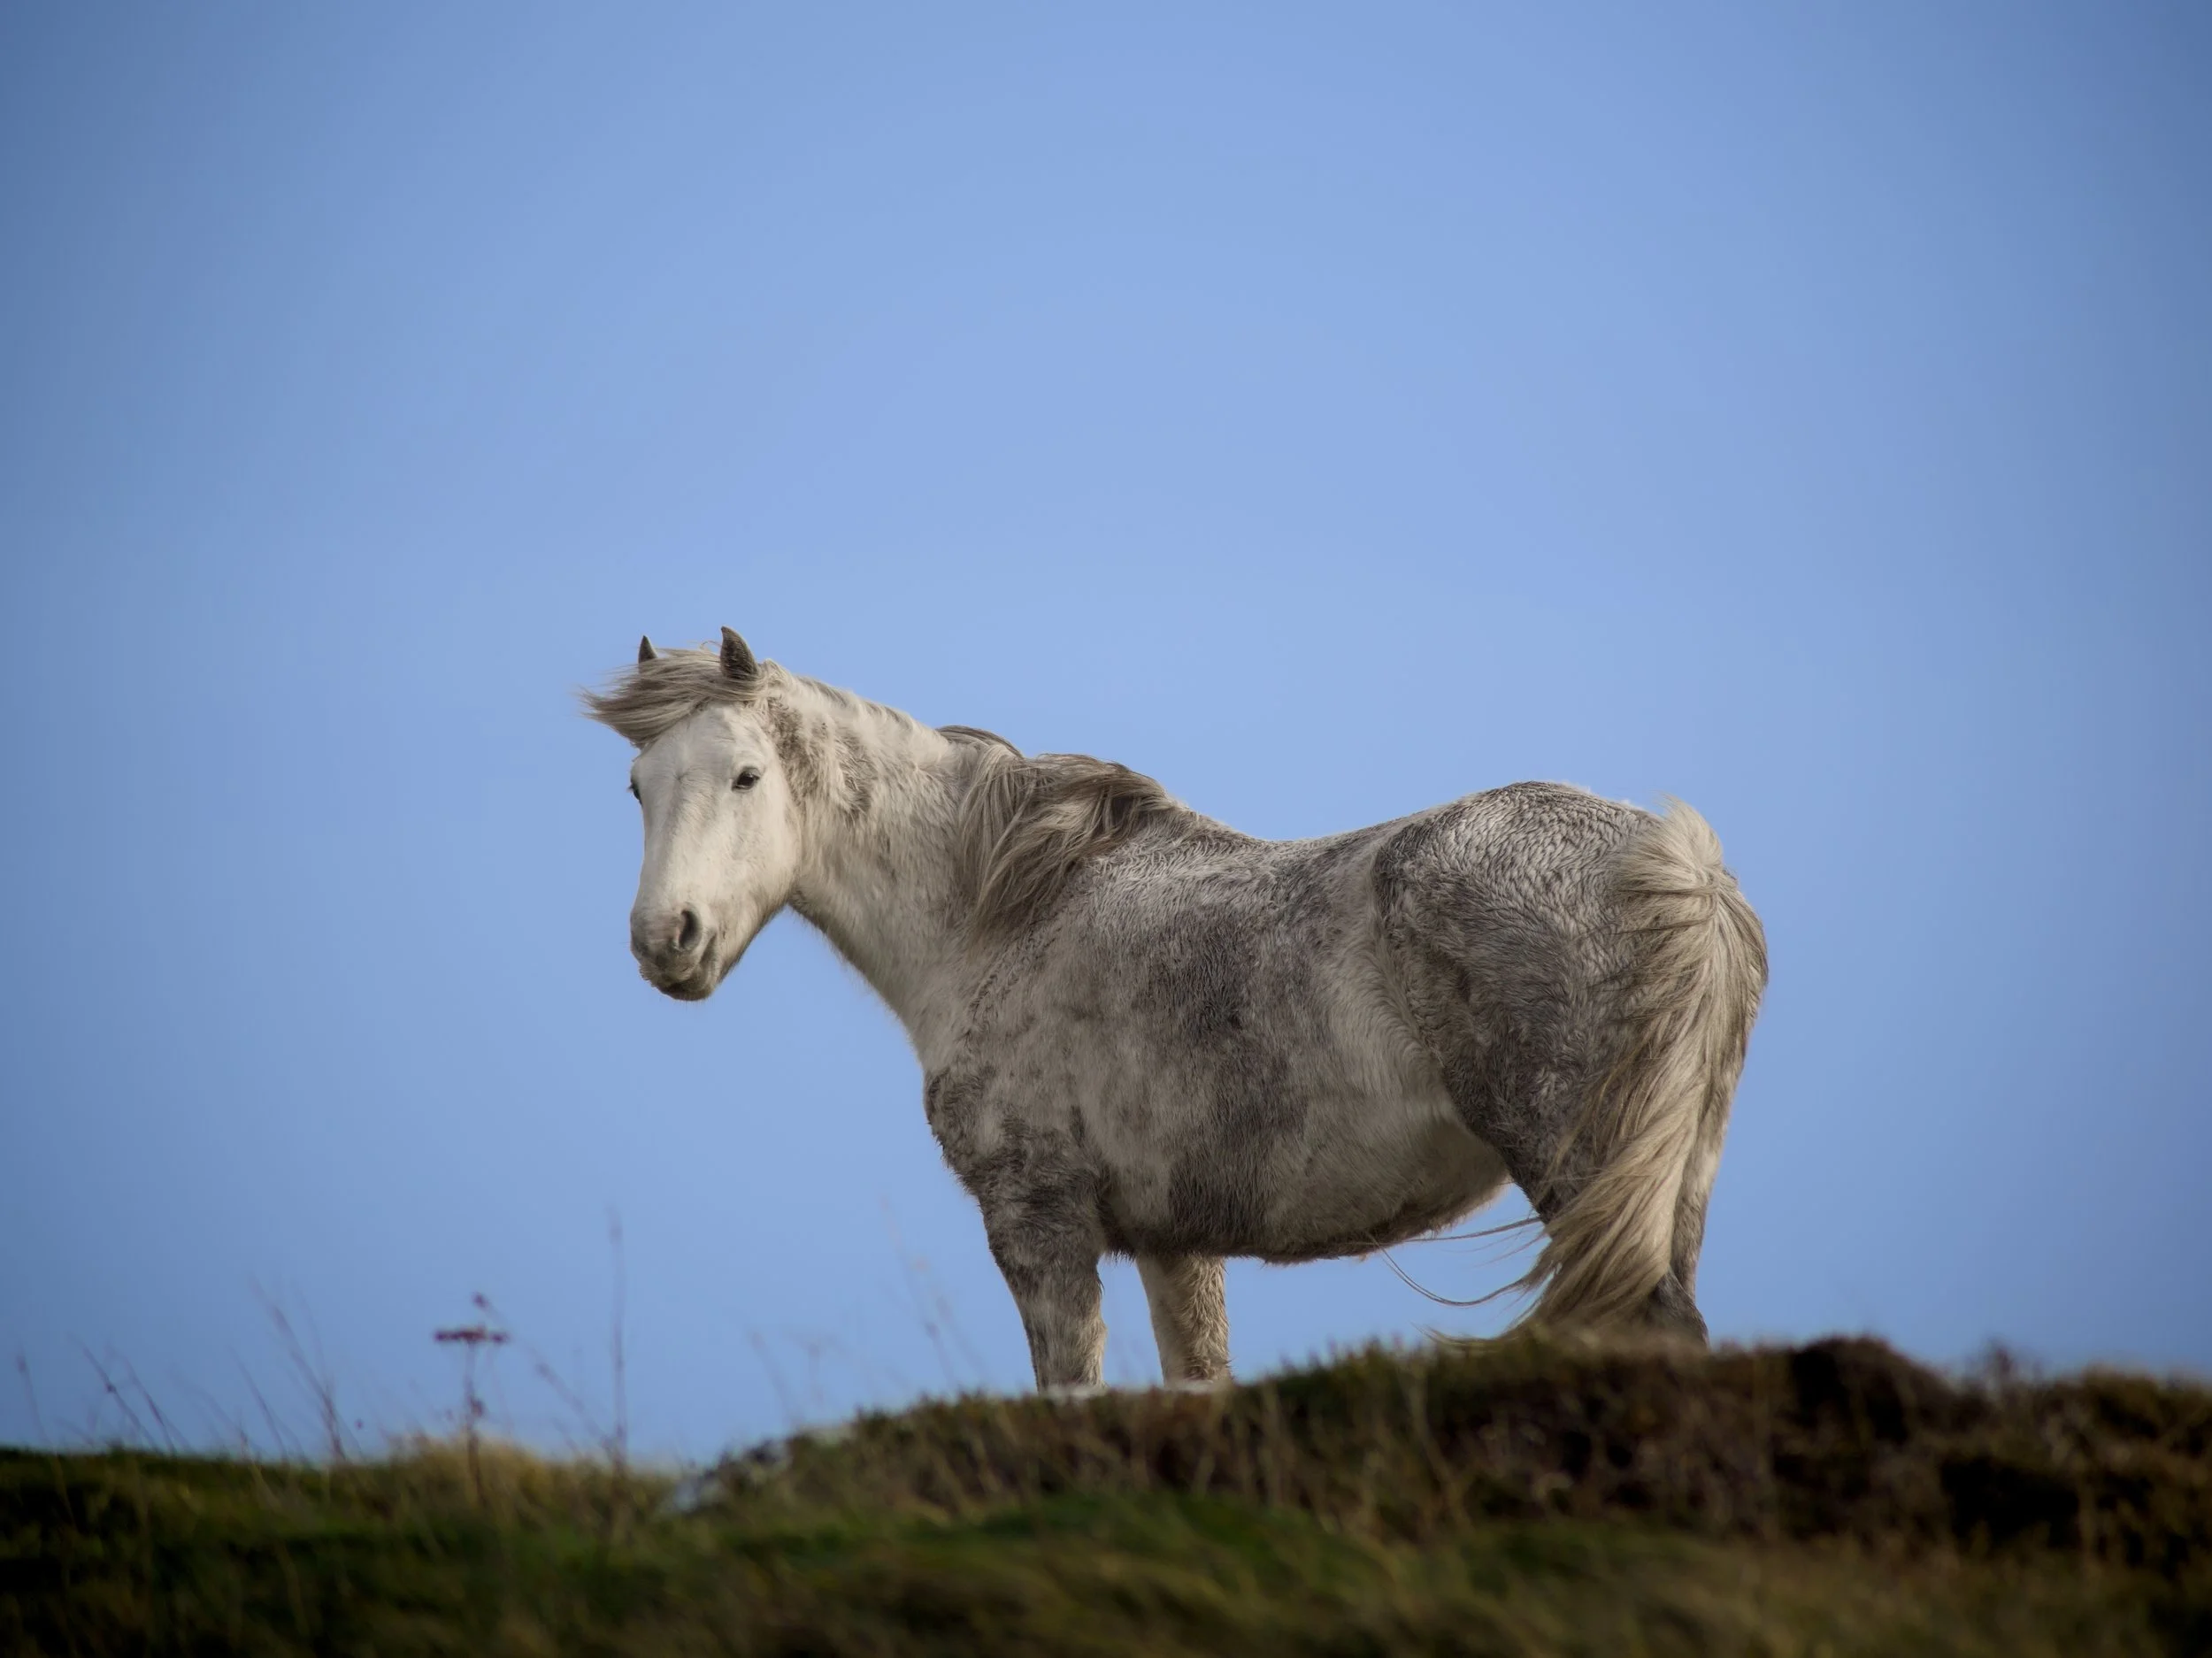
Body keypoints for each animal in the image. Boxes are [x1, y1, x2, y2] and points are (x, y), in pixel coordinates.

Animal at [585, 628, 1766, 1391]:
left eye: (745, 775)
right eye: (637, 786)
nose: (666, 939)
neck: (1005, 911)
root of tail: (1678, 863)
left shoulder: (1040, 1223)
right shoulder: (1173, 1241)